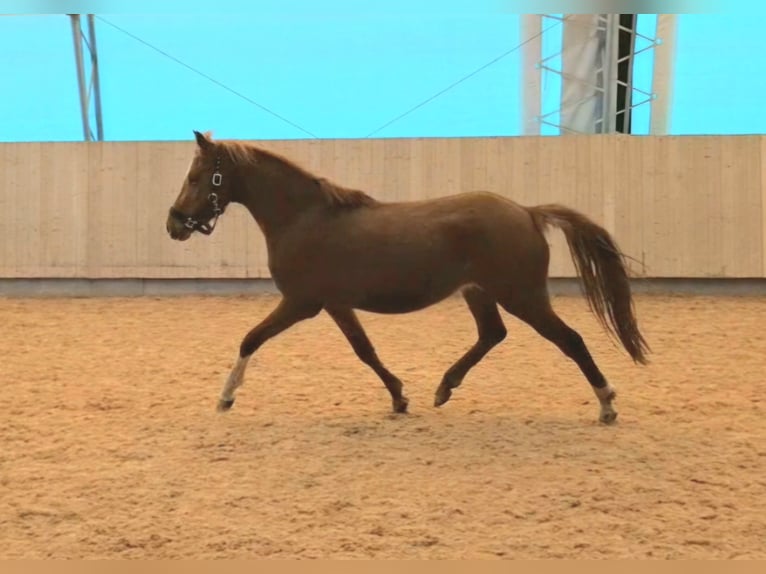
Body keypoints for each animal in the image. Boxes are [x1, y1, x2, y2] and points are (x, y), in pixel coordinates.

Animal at [166, 130, 649, 424]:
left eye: (197, 177)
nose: (173, 225)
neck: (304, 218)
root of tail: (528, 213)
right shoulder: (335, 304)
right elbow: (365, 350)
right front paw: (399, 397)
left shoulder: (302, 303)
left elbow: (251, 338)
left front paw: (226, 397)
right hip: (480, 292)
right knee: (492, 334)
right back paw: (444, 388)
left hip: (522, 295)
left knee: (570, 340)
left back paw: (607, 404)